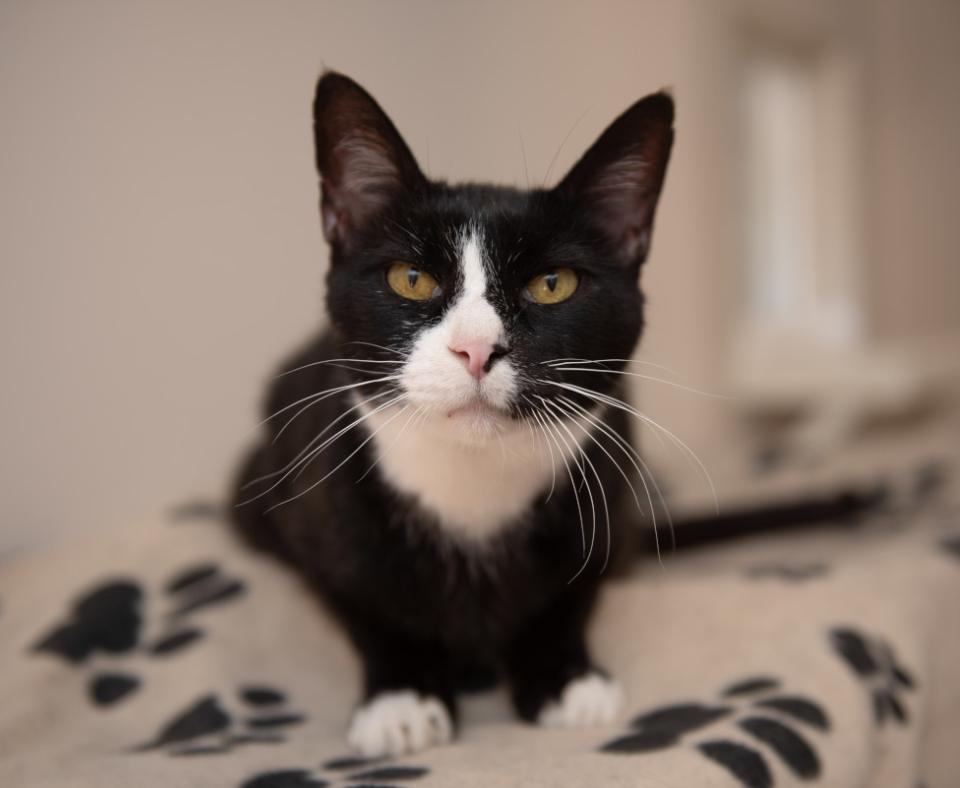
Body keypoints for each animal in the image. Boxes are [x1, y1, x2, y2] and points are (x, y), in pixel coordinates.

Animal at [232, 72, 672, 756]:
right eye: (410, 278)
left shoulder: (610, 480)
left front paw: (566, 680)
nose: (476, 349)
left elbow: (574, 588)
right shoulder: (317, 511)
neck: (472, 488)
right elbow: (363, 600)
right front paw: (402, 700)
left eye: (553, 284)